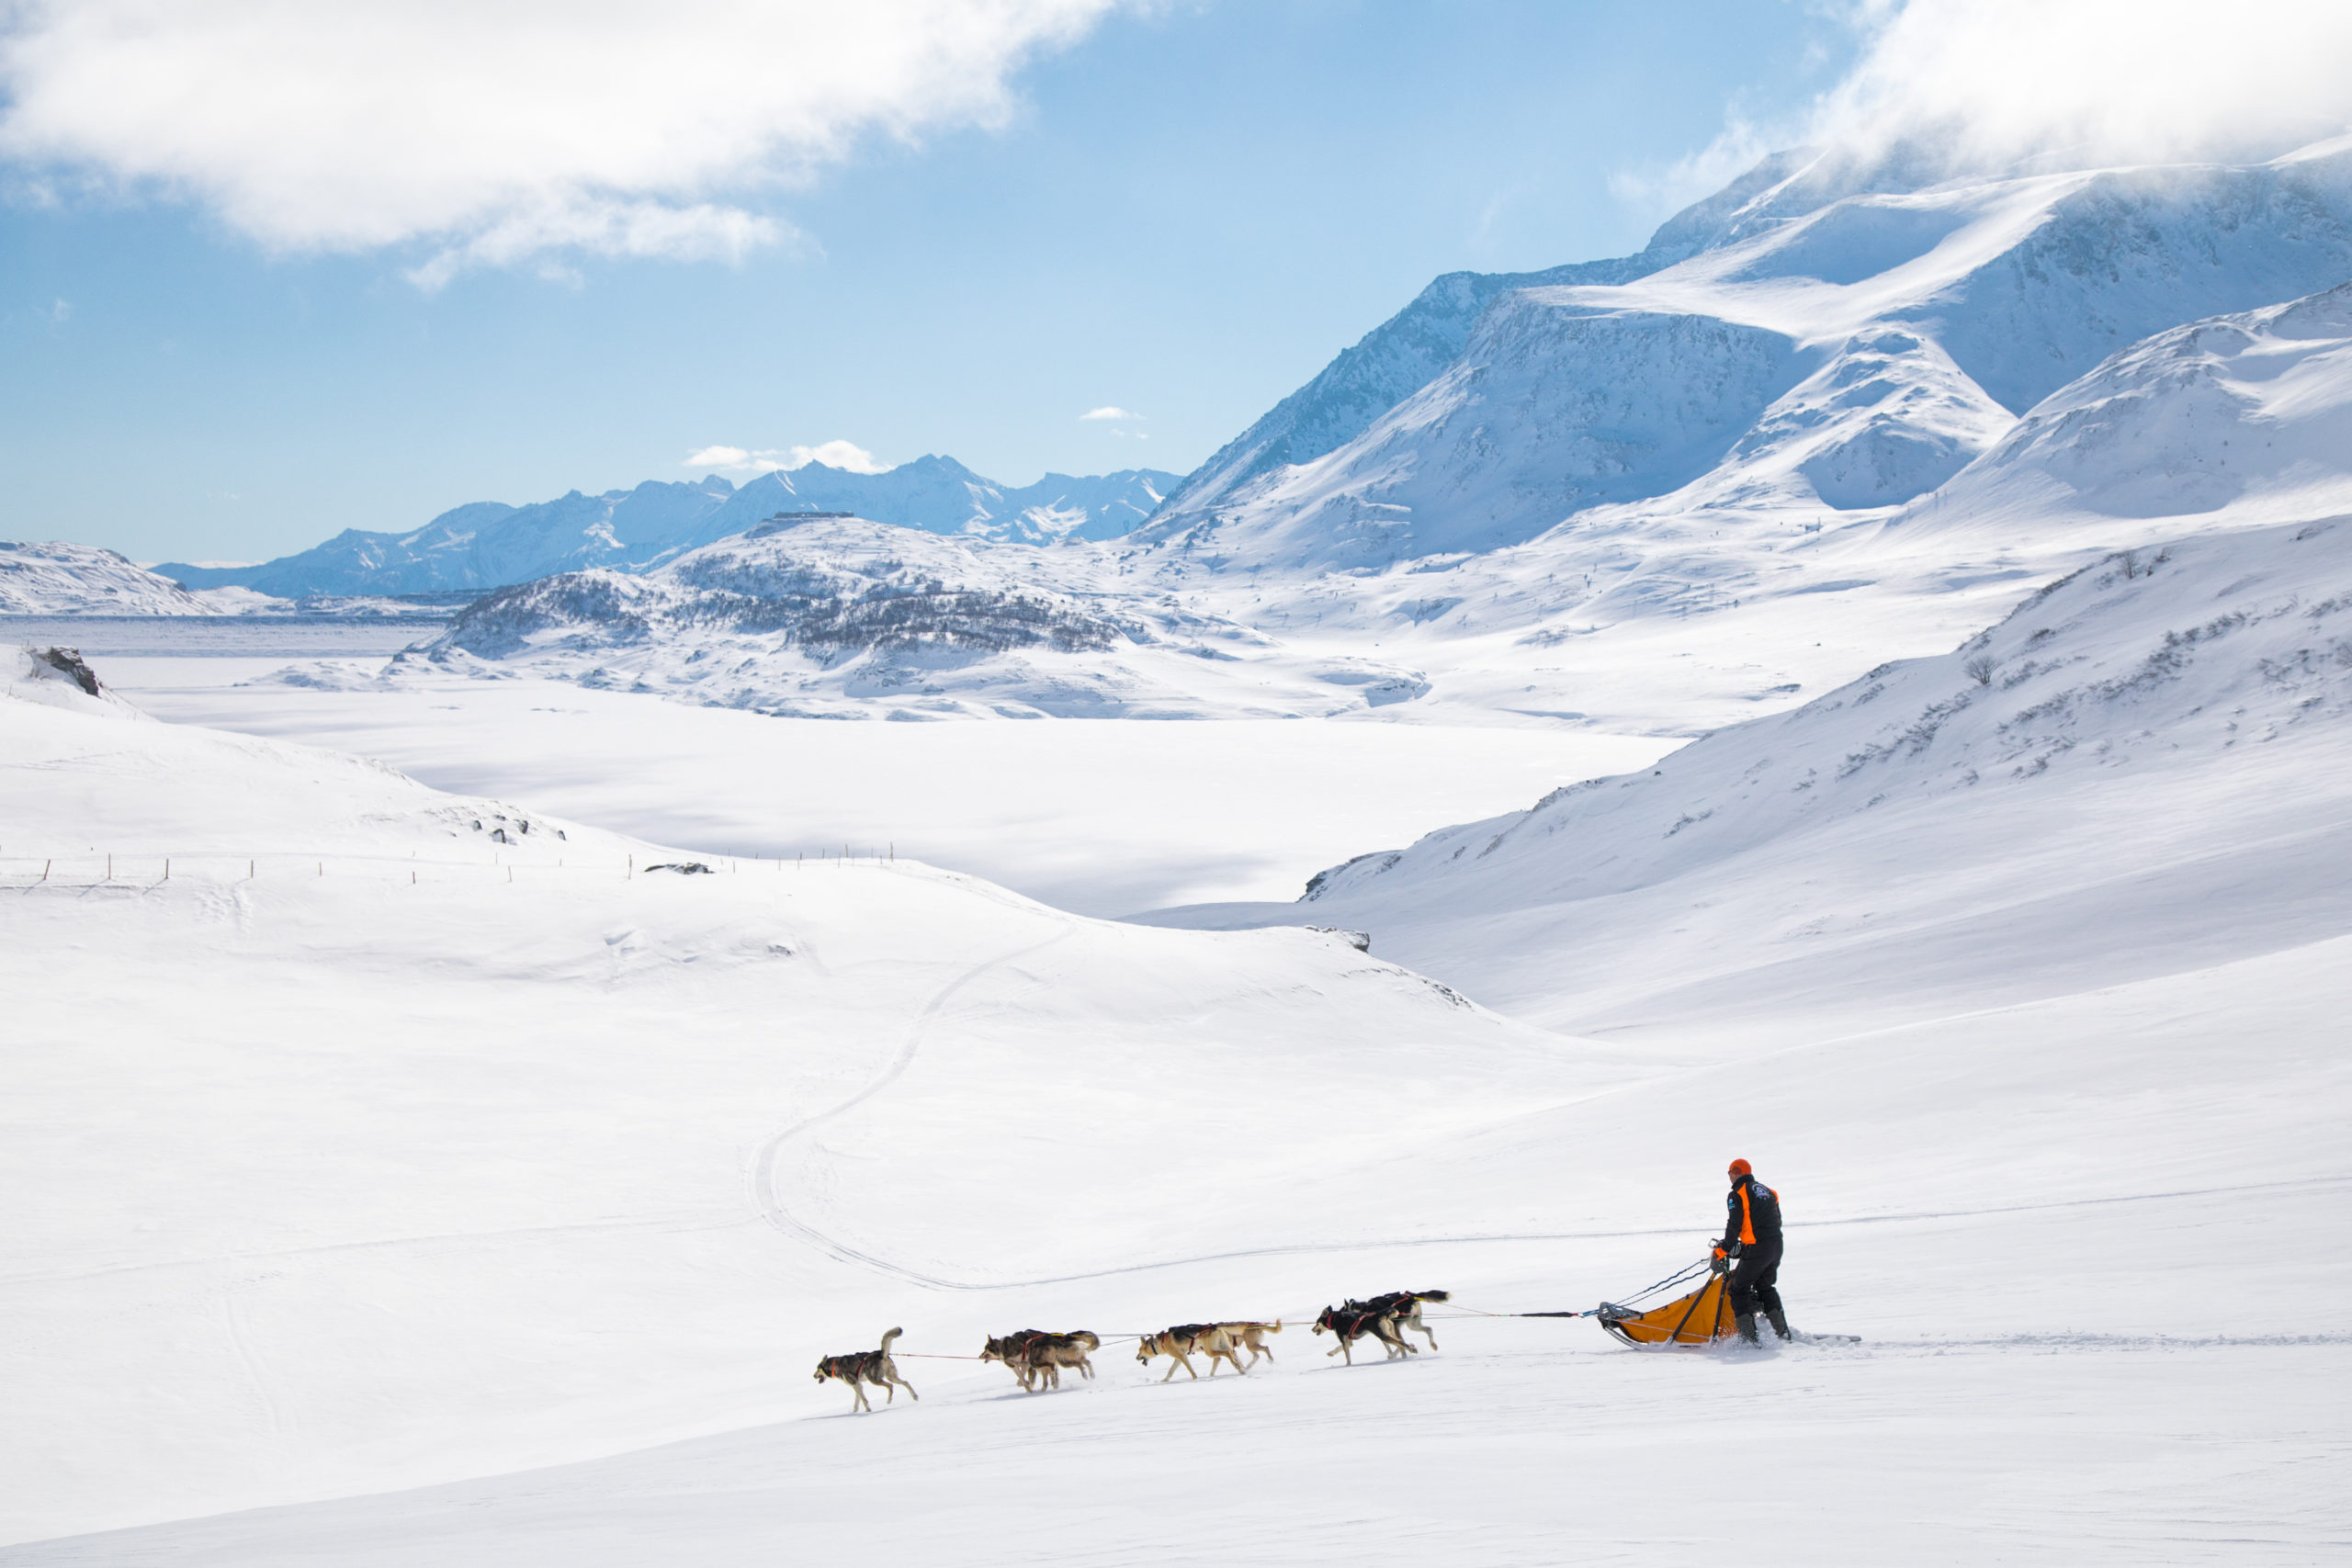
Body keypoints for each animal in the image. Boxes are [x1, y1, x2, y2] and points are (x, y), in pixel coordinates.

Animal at [1133, 1325, 1250, 1382]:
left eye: (1139, 1350)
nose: (1136, 1357)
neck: (1161, 1342)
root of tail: (1215, 1327)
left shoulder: (1182, 1356)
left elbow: (1190, 1369)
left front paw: (1195, 1378)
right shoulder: (1178, 1358)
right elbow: (1170, 1371)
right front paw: (1164, 1380)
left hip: (1210, 1352)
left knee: (1226, 1354)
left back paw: (1237, 1366)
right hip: (1222, 1346)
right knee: (1231, 1353)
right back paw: (1241, 1369)